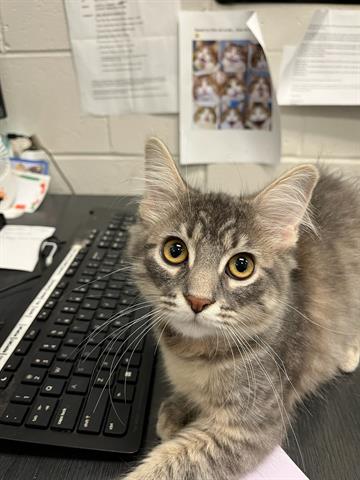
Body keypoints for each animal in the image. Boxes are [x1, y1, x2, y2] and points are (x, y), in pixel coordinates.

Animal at [122, 137, 358, 478]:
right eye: (175, 251)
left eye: (241, 266)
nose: (198, 300)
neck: (193, 354)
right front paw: (178, 408)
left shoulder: (253, 425)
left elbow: (176, 462)